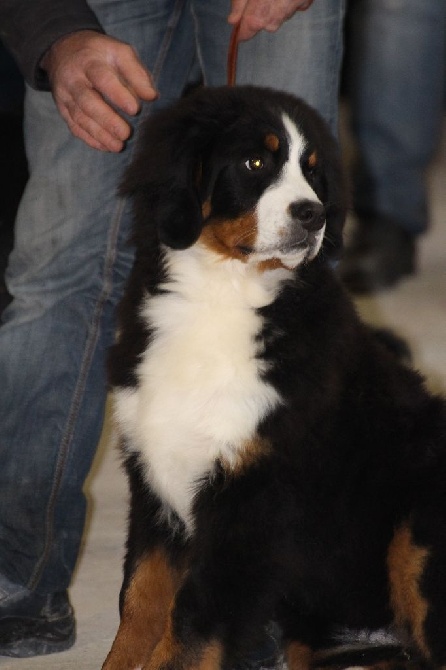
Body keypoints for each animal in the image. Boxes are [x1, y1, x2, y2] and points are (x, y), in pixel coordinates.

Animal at [101, 88, 446, 670]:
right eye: (256, 163)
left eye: (313, 172)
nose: (313, 214)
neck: (222, 295)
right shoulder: (153, 484)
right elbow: (139, 602)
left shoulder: (252, 500)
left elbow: (190, 627)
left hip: (415, 533)